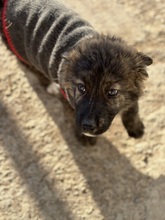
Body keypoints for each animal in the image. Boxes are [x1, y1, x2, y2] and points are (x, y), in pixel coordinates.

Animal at [0, 0, 153, 144]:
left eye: (112, 92)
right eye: (81, 88)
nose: (88, 126)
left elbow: (133, 108)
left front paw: (135, 128)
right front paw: (85, 137)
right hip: (20, 51)